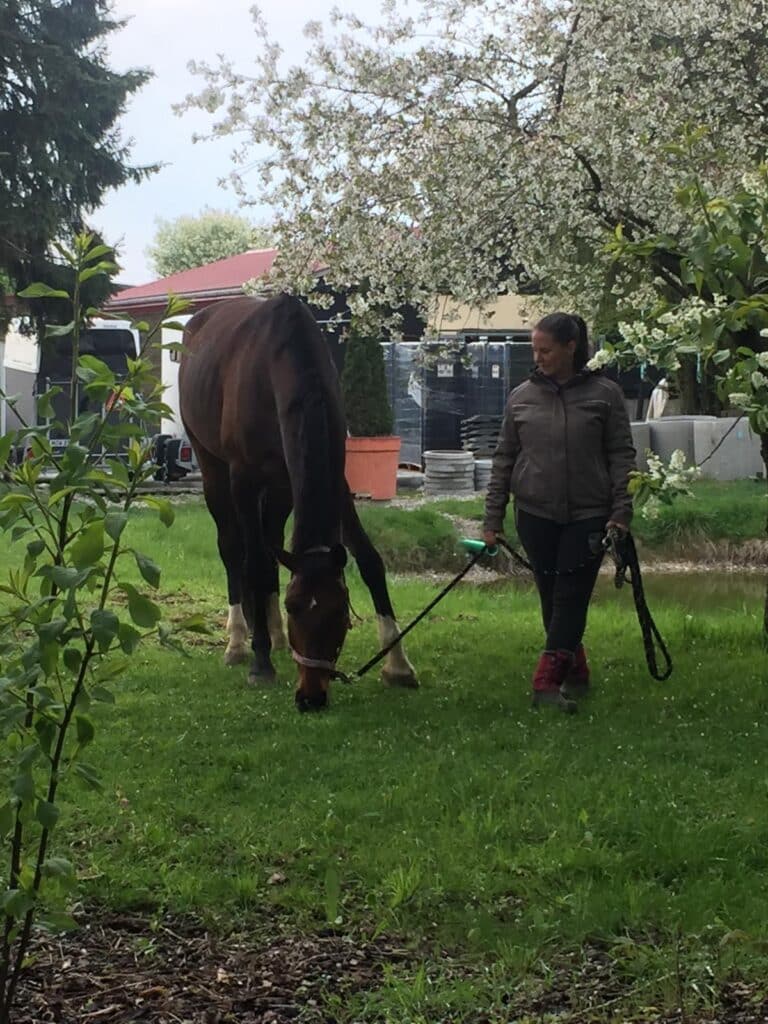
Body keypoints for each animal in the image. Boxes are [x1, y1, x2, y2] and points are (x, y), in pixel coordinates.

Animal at [178, 293, 417, 711]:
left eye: (339, 609)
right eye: (295, 608)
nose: (311, 697)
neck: (279, 361)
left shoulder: (336, 475)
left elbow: (369, 560)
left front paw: (398, 664)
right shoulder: (243, 478)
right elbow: (254, 565)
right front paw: (260, 664)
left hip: (282, 488)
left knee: (272, 543)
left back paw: (272, 633)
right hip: (213, 470)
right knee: (233, 549)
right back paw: (239, 640)